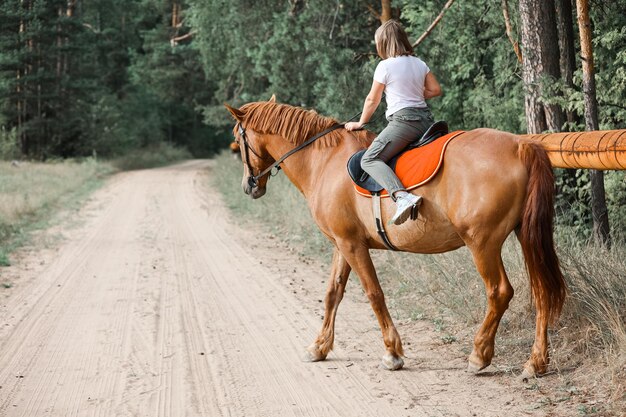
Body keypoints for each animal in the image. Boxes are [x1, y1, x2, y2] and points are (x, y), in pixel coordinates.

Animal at [225, 98, 564, 376]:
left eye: (237, 139)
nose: (248, 185)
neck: (324, 161)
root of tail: (520, 145)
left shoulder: (352, 245)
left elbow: (374, 293)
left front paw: (393, 353)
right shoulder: (342, 244)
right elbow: (333, 293)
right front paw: (319, 347)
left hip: (482, 243)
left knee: (499, 292)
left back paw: (479, 355)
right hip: (525, 236)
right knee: (541, 291)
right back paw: (536, 362)